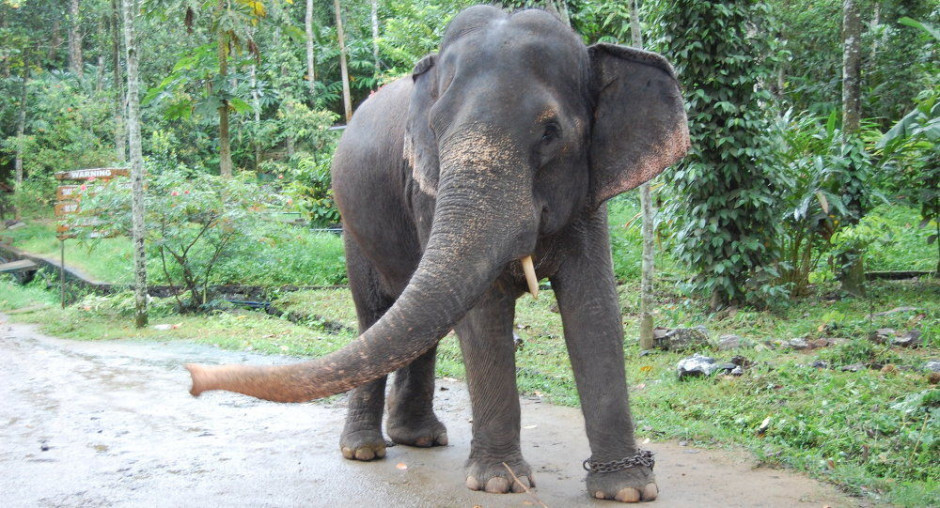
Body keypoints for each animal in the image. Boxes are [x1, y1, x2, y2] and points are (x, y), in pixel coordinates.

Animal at [185, 5, 689, 503]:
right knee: (374, 315)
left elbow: (594, 307)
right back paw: (365, 450)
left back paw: (418, 438)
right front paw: (499, 483)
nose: (192, 380)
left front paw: (629, 488)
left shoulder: (589, 195)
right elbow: (484, 314)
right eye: (436, 128)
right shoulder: (425, 189)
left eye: (551, 132)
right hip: (353, 228)